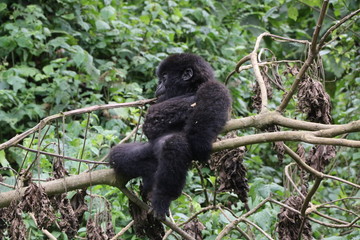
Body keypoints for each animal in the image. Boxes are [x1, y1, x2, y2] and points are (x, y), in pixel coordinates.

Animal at [109, 53, 232, 219]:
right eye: (160, 79)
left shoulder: (215, 87)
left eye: (164, 77)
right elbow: (152, 120)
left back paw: (163, 197)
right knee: (118, 155)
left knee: (174, 145)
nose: (158, 86)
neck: (192, 87)